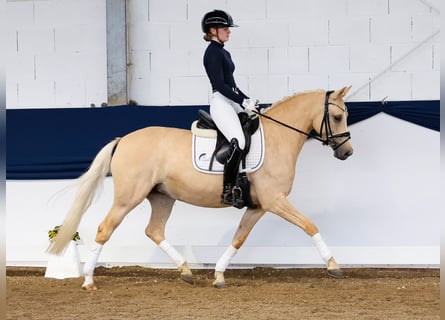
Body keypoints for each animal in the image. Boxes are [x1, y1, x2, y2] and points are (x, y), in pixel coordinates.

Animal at [48, 86, 352, 288]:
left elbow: (239, 238)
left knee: (154, 230)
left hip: (162, 197)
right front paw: (334, 265)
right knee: (105, 228)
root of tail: (123, 139)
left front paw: (218, 275)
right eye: (337, 117)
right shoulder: (275, 201)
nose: (347, 153)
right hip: (128, 197)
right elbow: (310, 225)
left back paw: (185, 270)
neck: (279, 137)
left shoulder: (259, 206)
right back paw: (88, 280)